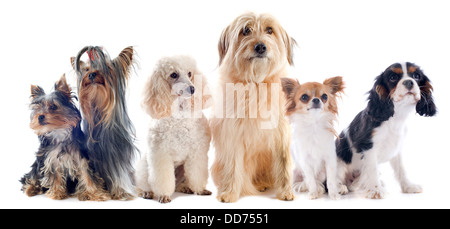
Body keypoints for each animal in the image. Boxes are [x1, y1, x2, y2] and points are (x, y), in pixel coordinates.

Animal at [135, 55, 213, 204]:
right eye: (173, 75)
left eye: (189, 73)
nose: (192, 89)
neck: (180, 113)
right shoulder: (160, 154)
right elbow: (162, 178)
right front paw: (164, 195)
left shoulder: (197, 152)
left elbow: (197, 173)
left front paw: (200, 189)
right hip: (144, 167)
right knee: (144, 184)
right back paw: (146, 192)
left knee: (178, 184)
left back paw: (185, 188)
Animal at [338, 62, 436, 199]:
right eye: (393, 78)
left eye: (416, 76)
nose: (409, 82)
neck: (396, 116)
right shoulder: (368, 146)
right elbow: (372, 168)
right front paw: (375, 190)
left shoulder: (396, 149)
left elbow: (401, 169)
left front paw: (408, 187)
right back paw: (340, 187)